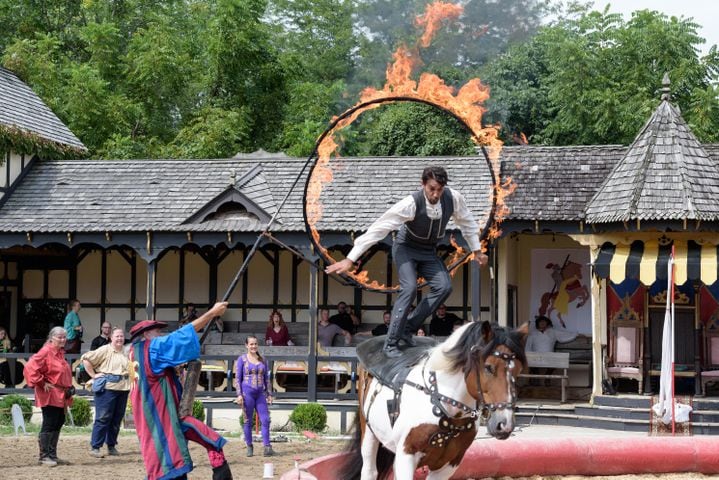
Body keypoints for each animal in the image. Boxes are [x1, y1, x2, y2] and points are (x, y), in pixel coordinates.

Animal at [344, 320, 528, 478]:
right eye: (489, 367)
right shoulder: (406, 456)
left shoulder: (449, 464)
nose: (504, 424)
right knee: (370, 471)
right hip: (369, 432)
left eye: (518, 370)